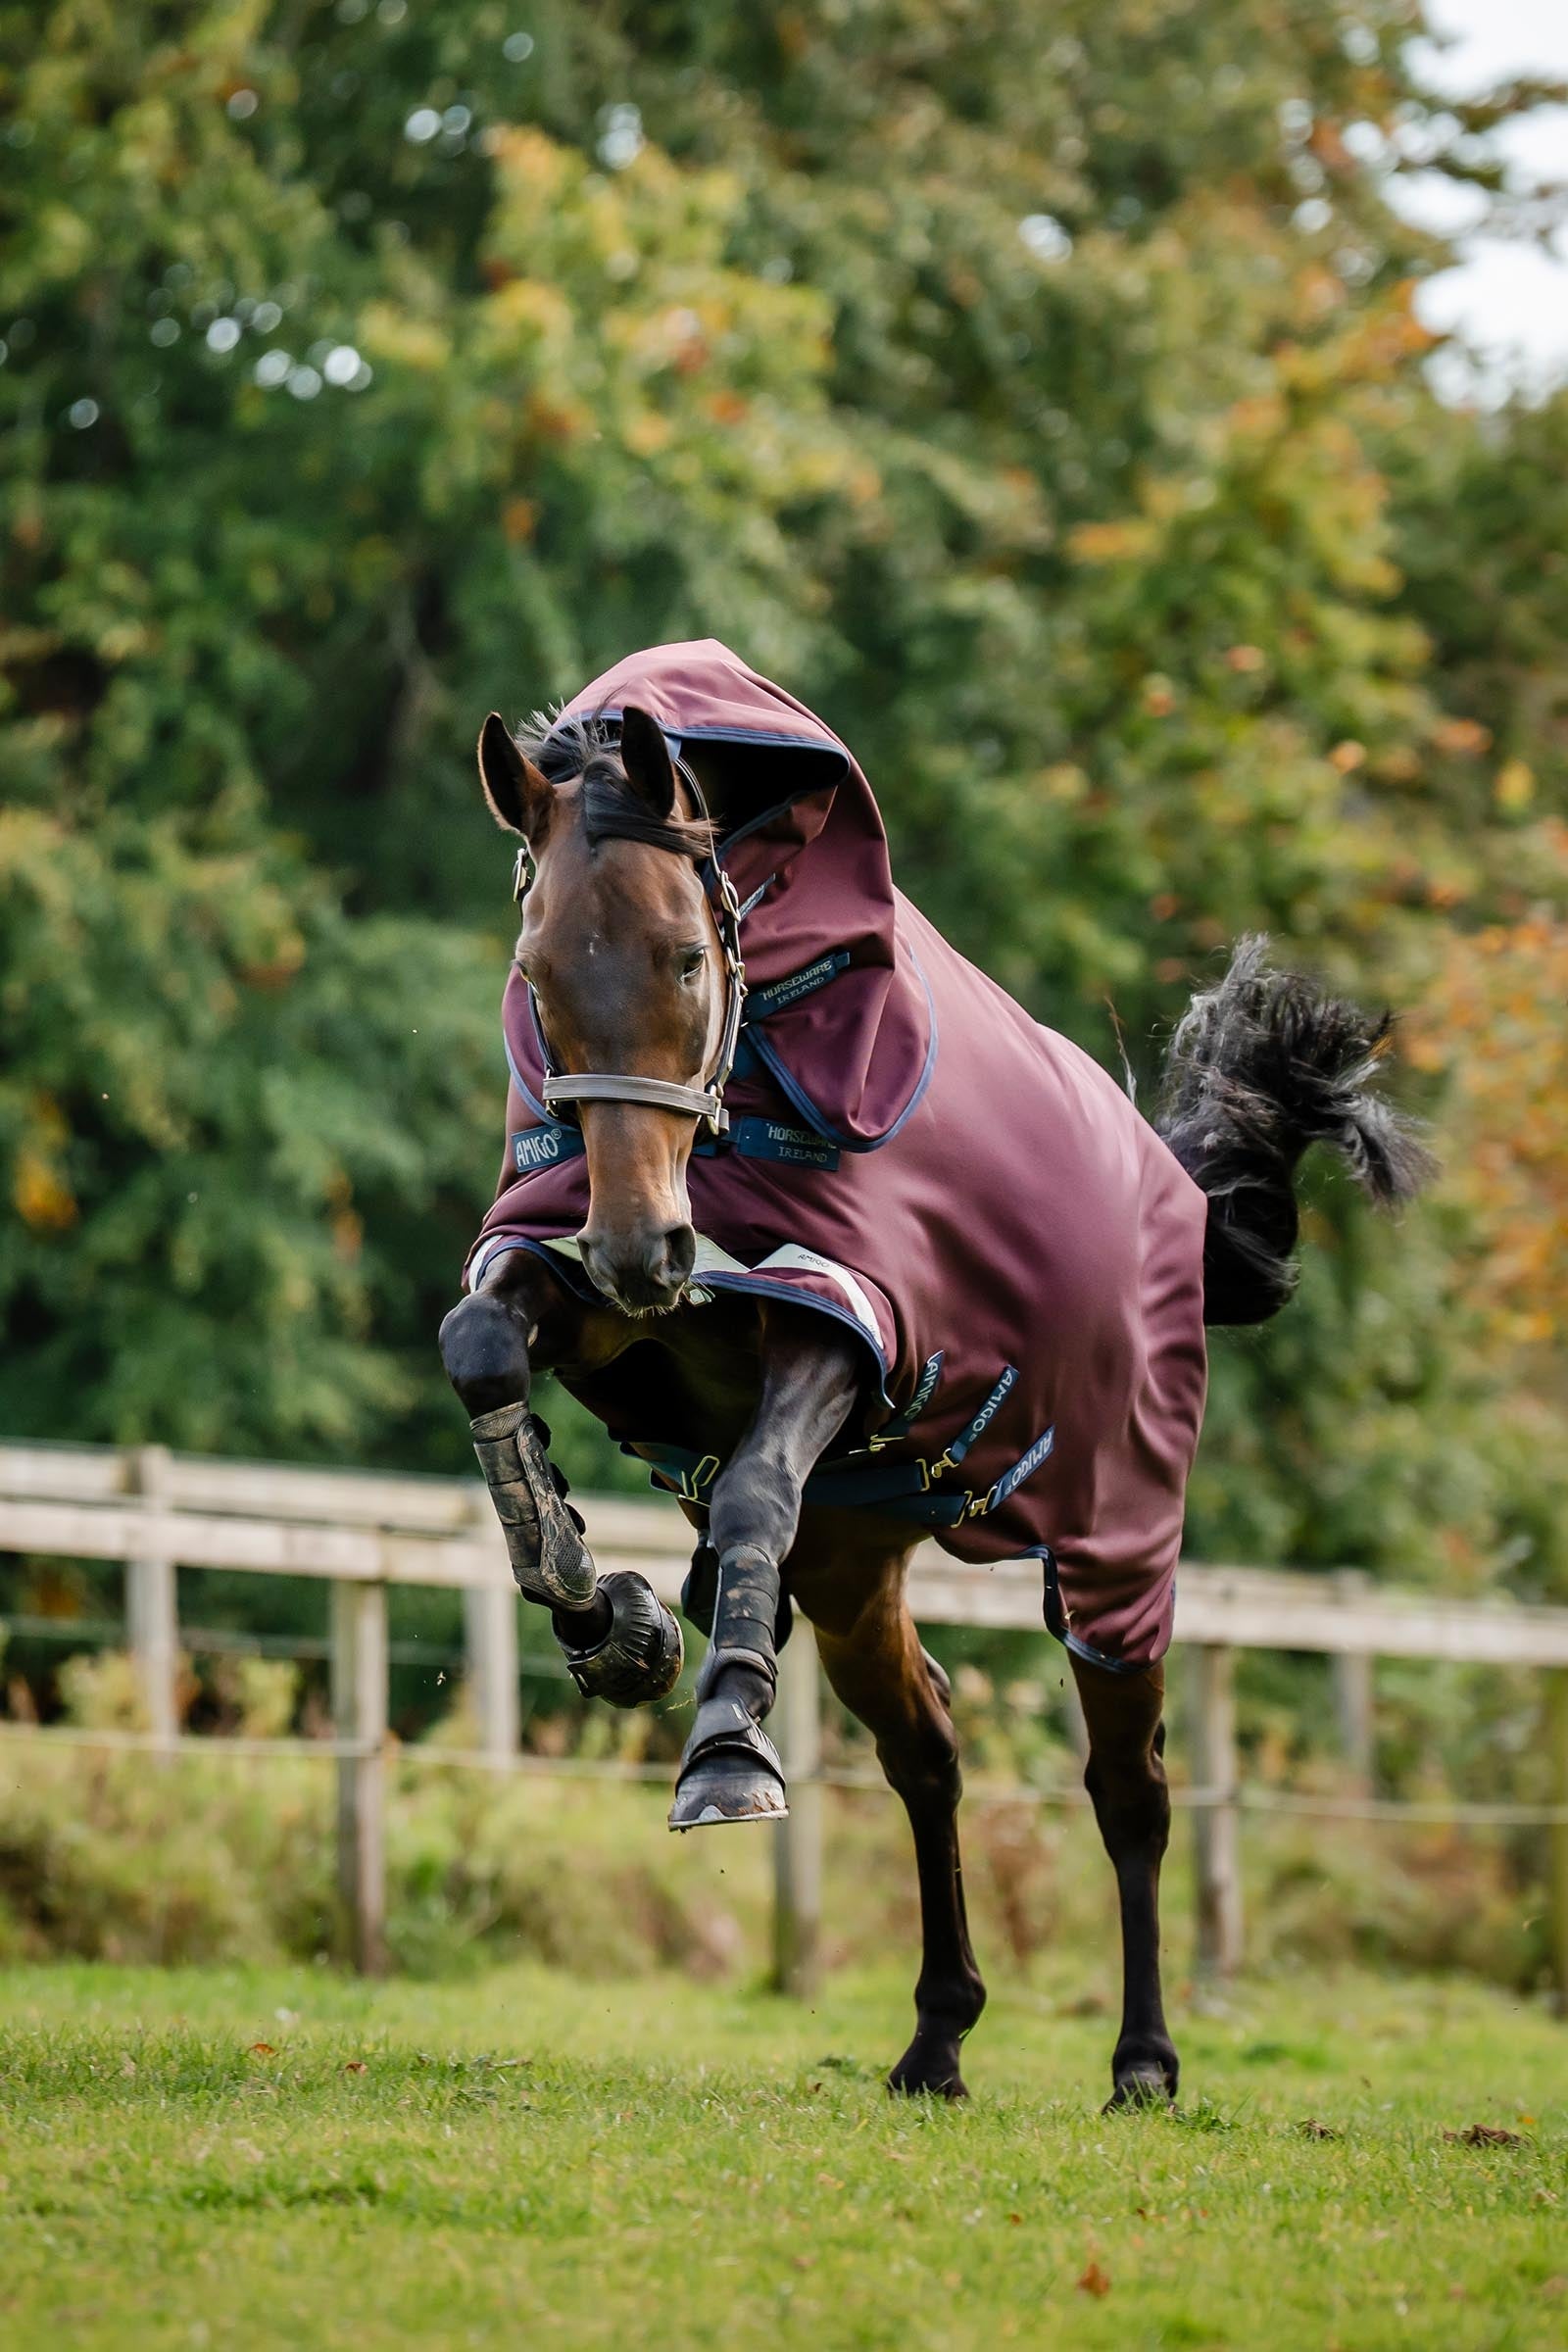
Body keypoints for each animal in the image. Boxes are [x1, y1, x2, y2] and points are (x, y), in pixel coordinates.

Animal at [438, 640, 1428, 2105]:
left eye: (683, 956)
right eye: (539, 971)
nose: (637, 1250)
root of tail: (1174, 1200)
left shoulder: (846, 1319)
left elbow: (752, 1489)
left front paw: (722, 1750)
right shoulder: (591, 1292)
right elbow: (483, 1350)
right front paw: (610, 1614)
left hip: (1117, 1550)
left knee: (1129, 1790)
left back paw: (1143, 2060)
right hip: (854, 1564)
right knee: (930, 1754)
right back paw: (936, 2036)